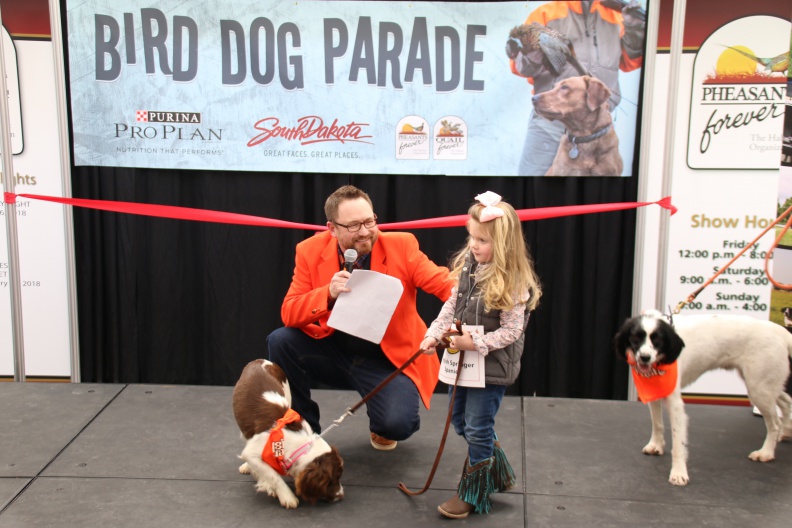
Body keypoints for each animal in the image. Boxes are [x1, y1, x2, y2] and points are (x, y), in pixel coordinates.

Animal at [229, 358, 340, 508]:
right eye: (332, 479)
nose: (341, 496)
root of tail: (260, 360)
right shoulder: (252, 452)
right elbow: (272, 475)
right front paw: (287, 496)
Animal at [612, 310, 792, 486]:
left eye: (658, 341)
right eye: (635, 338)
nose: (645, 357)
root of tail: (779, 330)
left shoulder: (676, 405)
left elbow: (678, 443)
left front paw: (678, 473)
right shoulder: (654, 393)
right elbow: (657, 424)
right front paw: (656, 445)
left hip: (759, 388)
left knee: (774, 423)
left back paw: (766, 452)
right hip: (763, 386)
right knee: (787, 402)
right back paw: (786, 431)